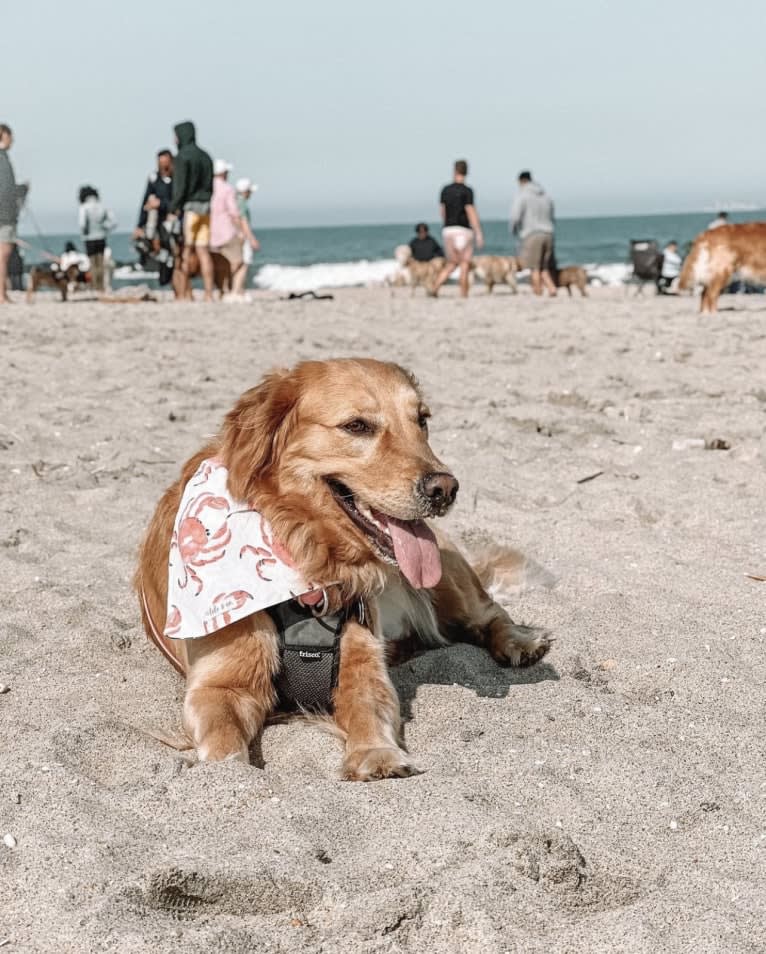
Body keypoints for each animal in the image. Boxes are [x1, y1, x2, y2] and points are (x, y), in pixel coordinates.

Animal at [134, 356, 552, 780]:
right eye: (357, 426)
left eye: (422, 420)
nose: (445, 489)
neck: (308, 554)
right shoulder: (219, 685)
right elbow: (223, 743)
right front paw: (228, 769)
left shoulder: (362, 662)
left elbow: (368, 707)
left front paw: (376, 753)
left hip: (448, 577)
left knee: (489, 613)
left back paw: (519, 641)